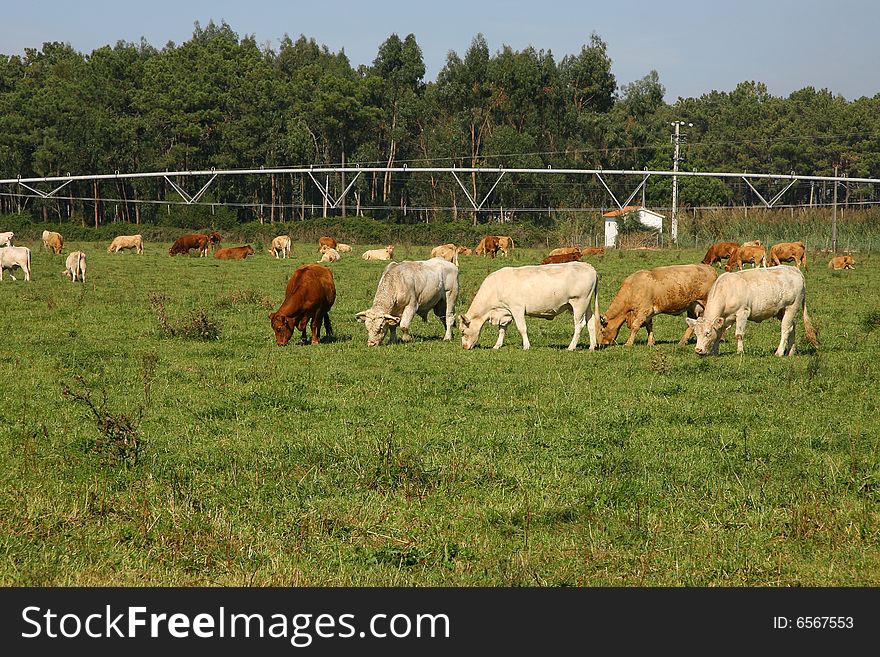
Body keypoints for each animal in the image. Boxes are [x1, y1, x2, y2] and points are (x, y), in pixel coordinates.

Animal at [458, 262, 600, 354]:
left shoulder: (517, 308)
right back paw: (592, 346)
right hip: (584, 305)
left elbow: (522, 328)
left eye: (463, 331)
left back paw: (571, 347)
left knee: (579, 325)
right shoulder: (505, 312)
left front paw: (526, 346)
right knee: (590, 322)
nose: (464, 347)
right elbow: (502, 330)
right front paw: (497, 345)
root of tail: (589, 266)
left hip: (579, 303)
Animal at [684, 262, 820, 356]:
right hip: (782, 311)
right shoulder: (723, 318)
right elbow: (718, 334)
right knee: (792, 326)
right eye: (696, 333)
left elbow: (739, 334)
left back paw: (780, 352)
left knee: (785, 328)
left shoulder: (743, 312)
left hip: (792, 306)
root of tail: (794, 269)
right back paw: (791, 351)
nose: (698, 350)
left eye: (707, 333)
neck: (726, 291)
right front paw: (714, 352)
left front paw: (740, 352)